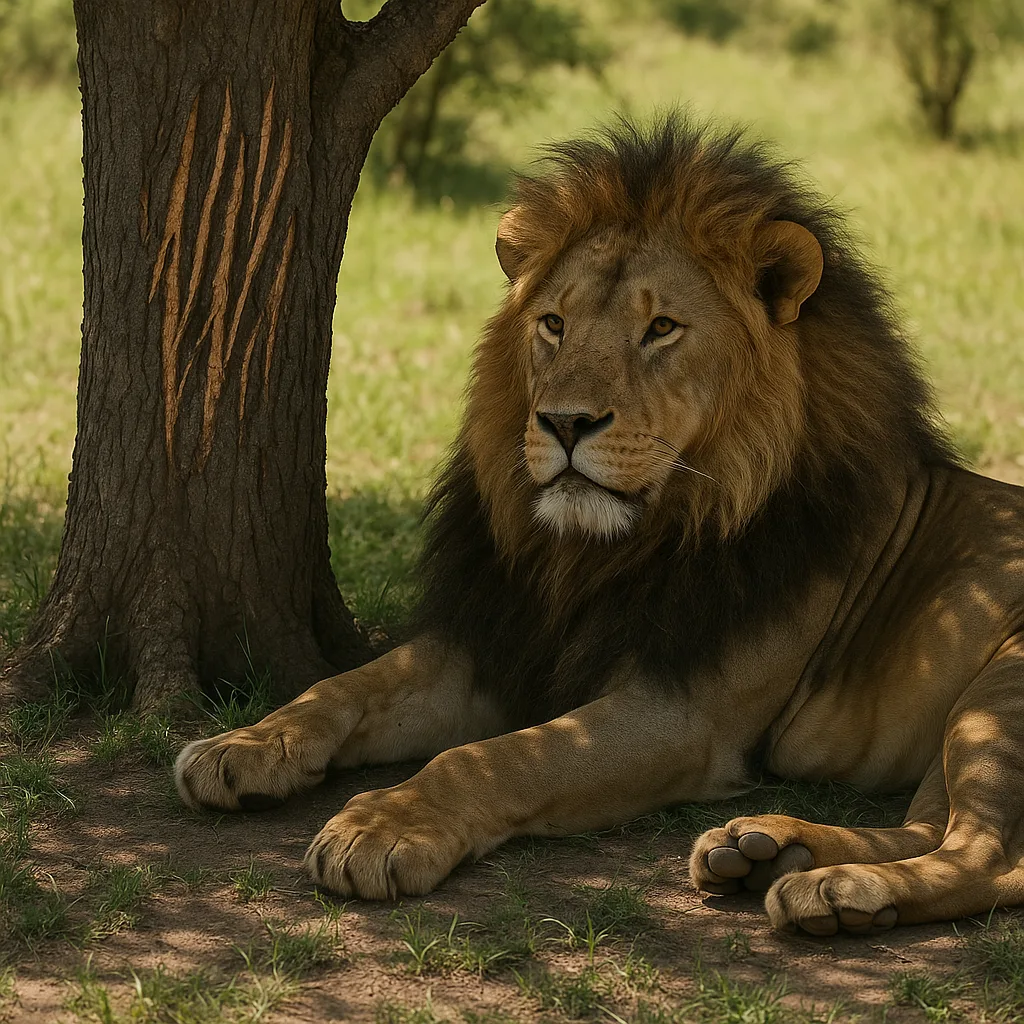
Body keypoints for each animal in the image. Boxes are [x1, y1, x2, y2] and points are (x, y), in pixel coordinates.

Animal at [175, 115, 1024, 936]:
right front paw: (244, 744)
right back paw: (767, 851)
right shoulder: (503, 643)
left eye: (662, 330)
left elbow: (497, 759)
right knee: (933, 829)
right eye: (554, 324)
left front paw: (383, 827)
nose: (563, 422)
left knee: (987, 857)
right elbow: (346, 684)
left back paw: (834, 891)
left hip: (997, 693)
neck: (594, 554)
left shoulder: (683, 715)